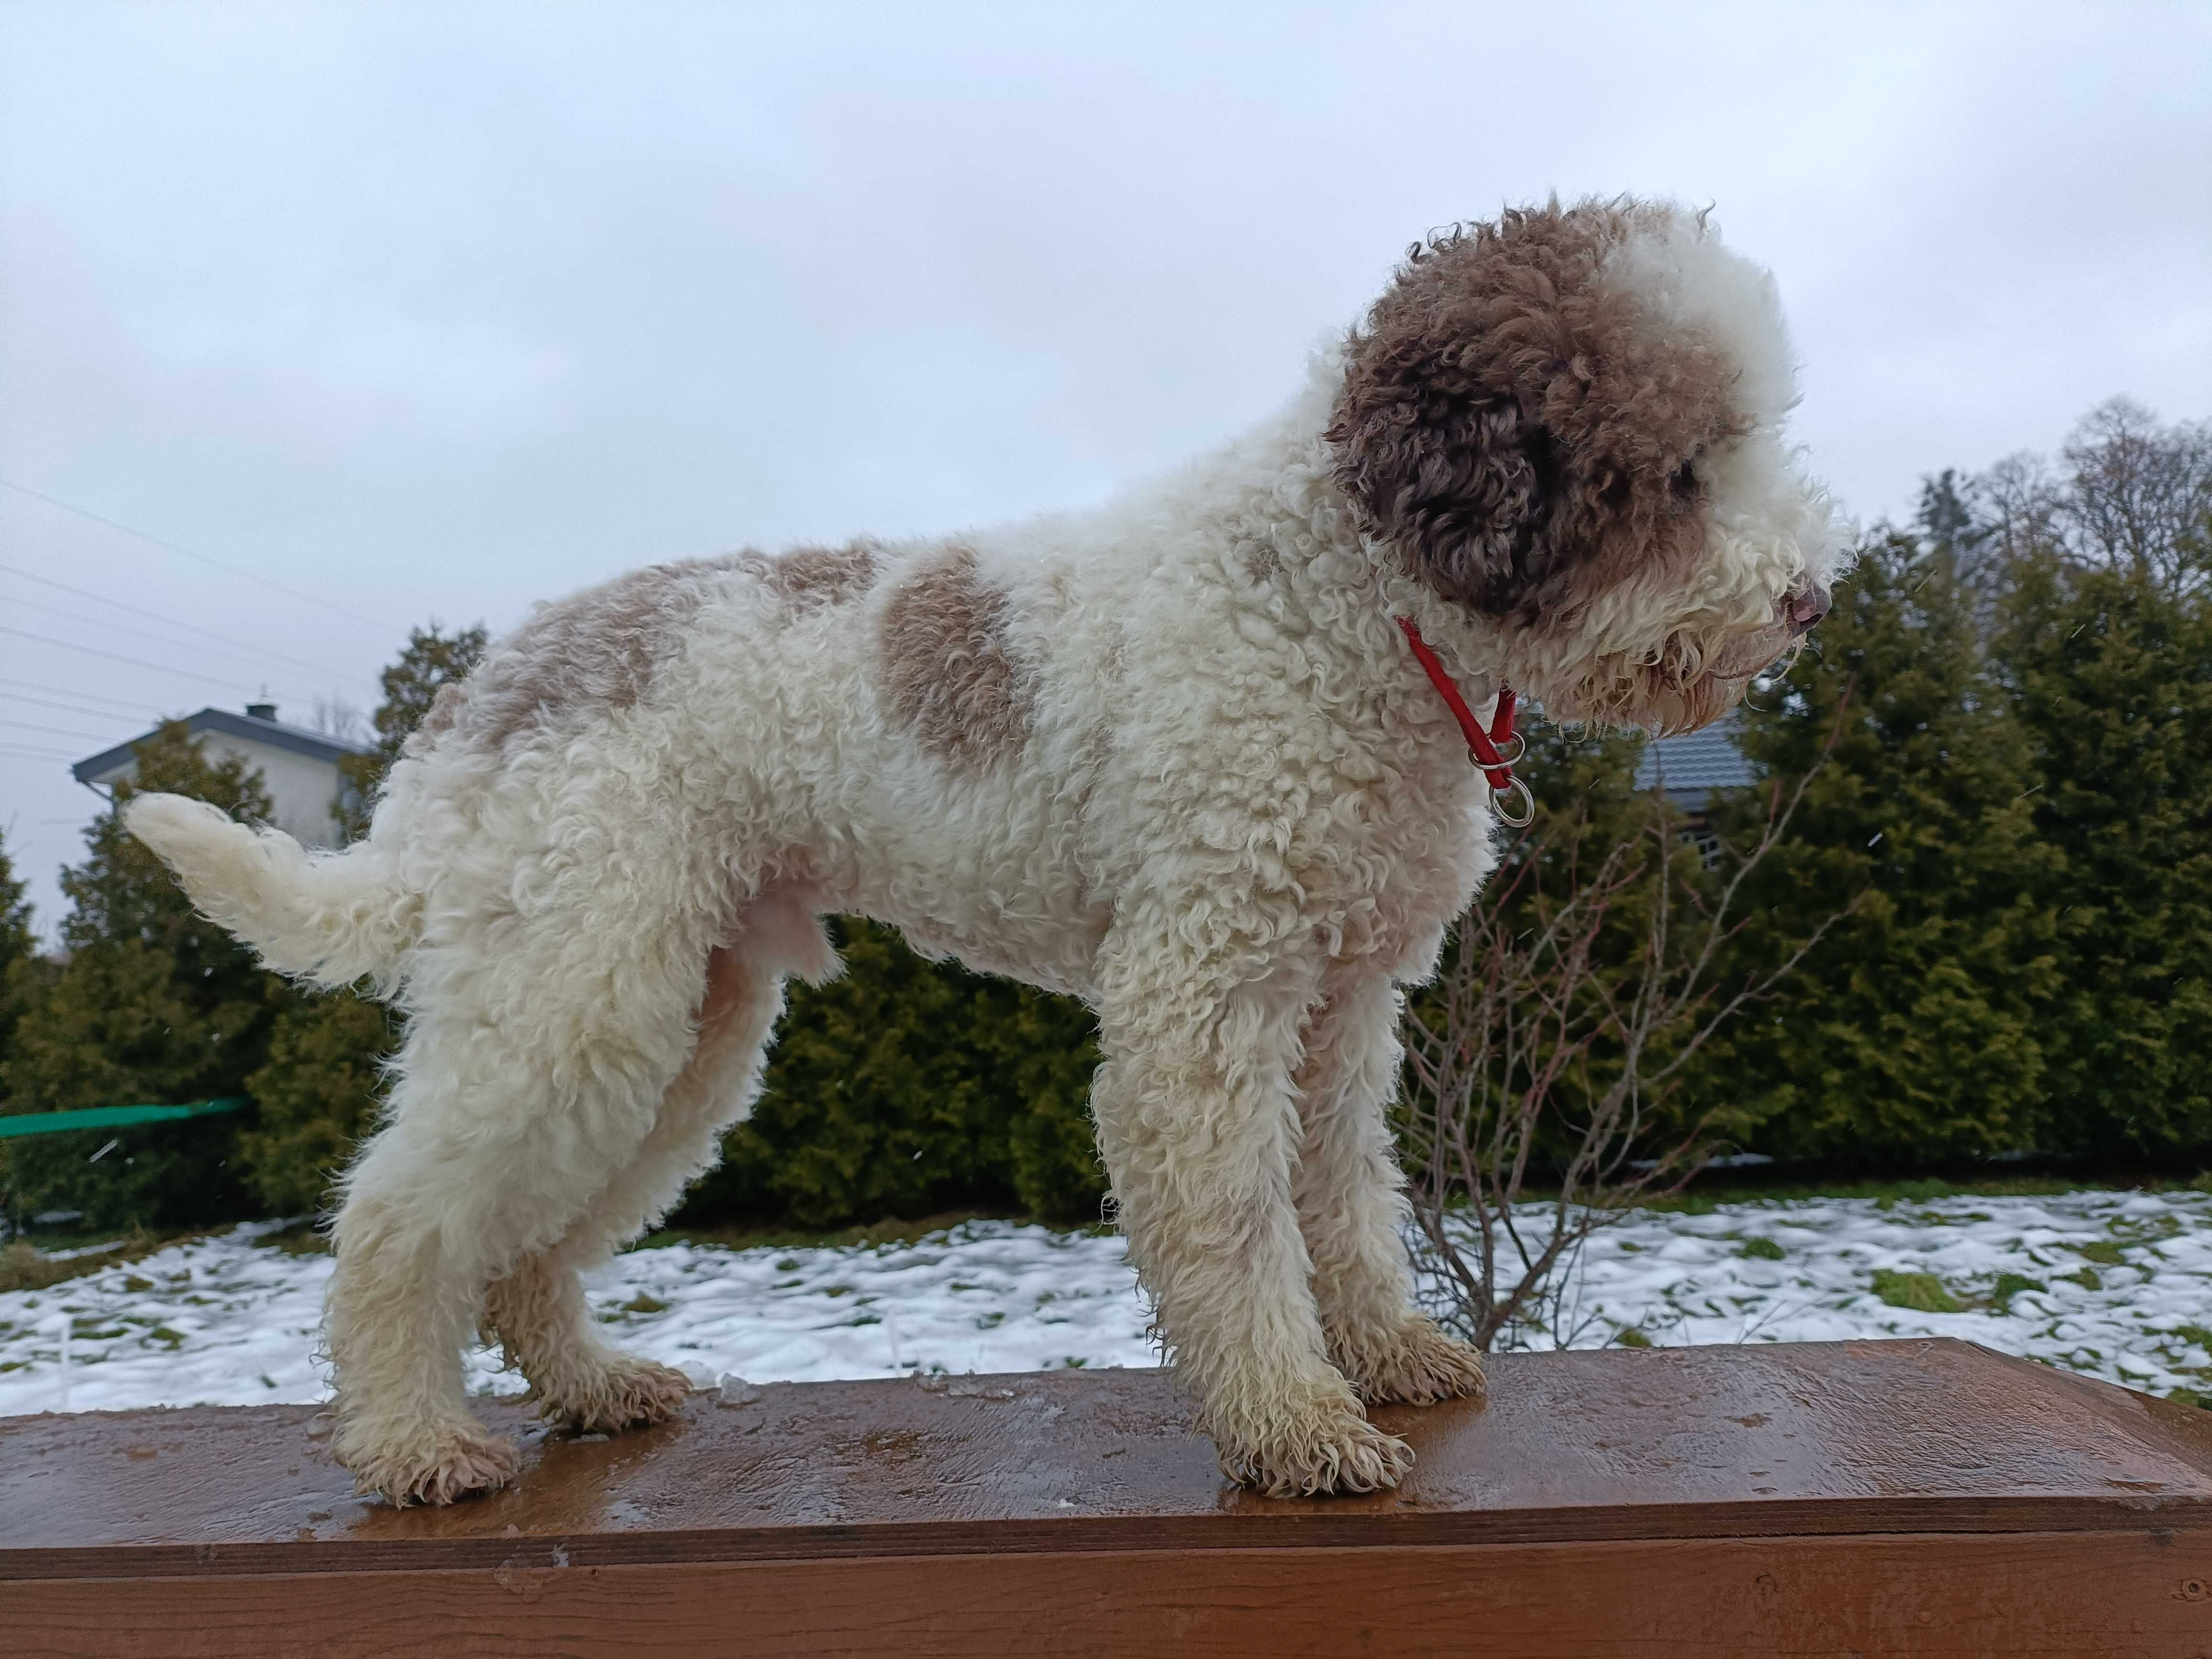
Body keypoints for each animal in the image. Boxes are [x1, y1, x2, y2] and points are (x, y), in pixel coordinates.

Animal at [125, 198, 1849, 1504]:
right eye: (1675, 468)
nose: (1807, 599)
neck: (1342, 599)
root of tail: (487, 688)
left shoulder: (1343, 1002)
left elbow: (1348, 1199)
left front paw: (1392, 1355)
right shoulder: (1204, 993)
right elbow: (1240, 1227)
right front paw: (1295, 1425)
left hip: (680, 1017)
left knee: (527, 1242)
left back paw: (597, 1386)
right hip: (576, 989)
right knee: (398, 1218)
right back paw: (413, 1444)